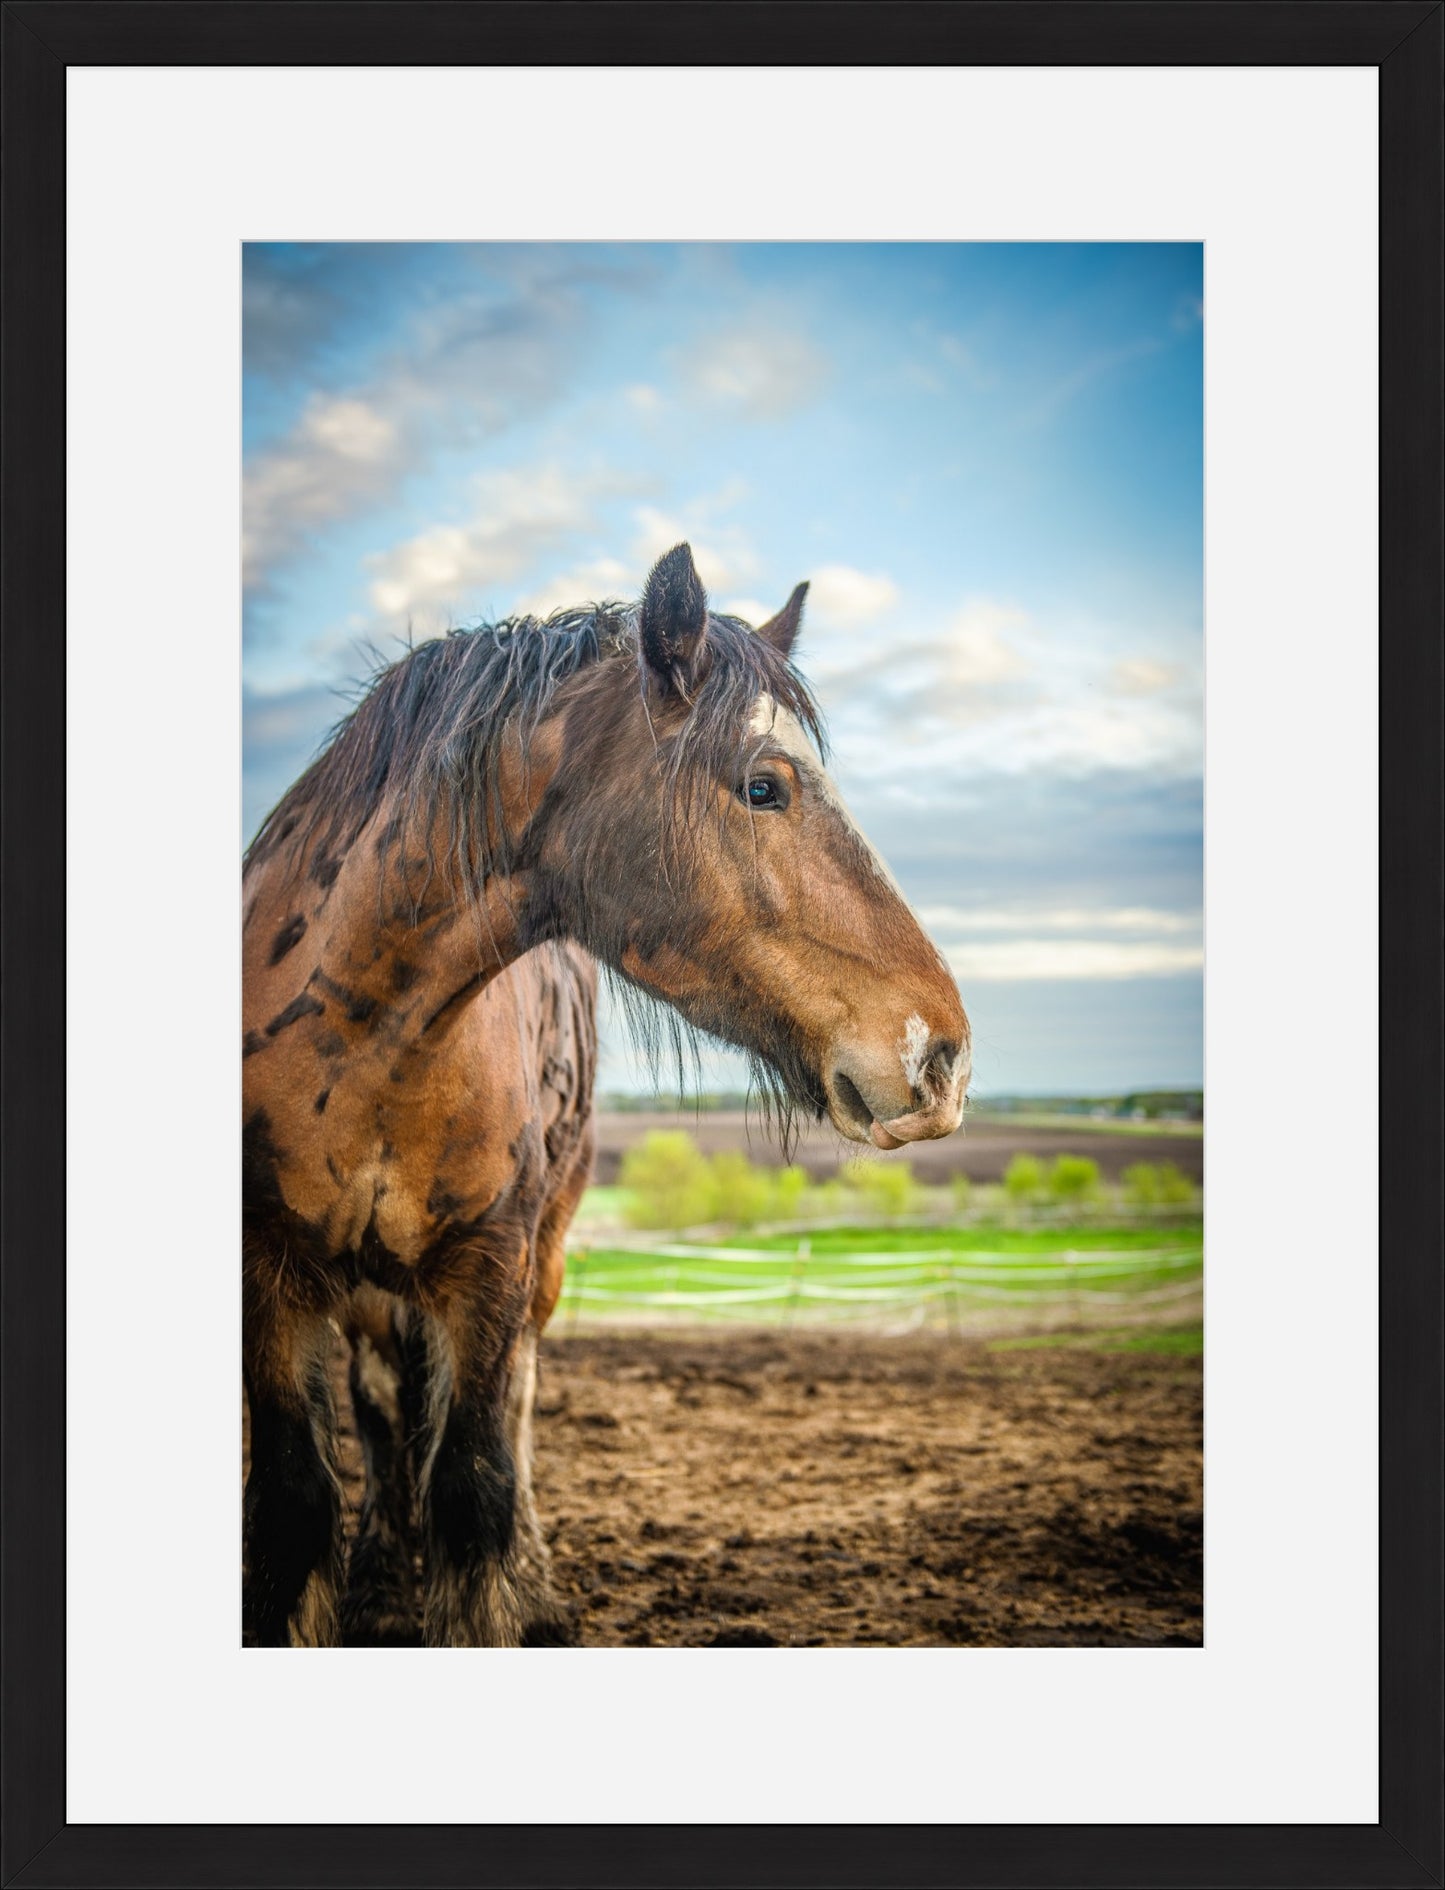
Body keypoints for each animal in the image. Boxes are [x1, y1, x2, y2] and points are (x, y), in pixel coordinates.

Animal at [241, 540, 967, 1648]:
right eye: (764, 786)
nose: (943, 1055)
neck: (362, 1038)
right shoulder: (271, 1280)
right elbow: (296, 1508)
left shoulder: (487, 1268)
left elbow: (475, 1490)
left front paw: (504, 1596)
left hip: (533, 1264)